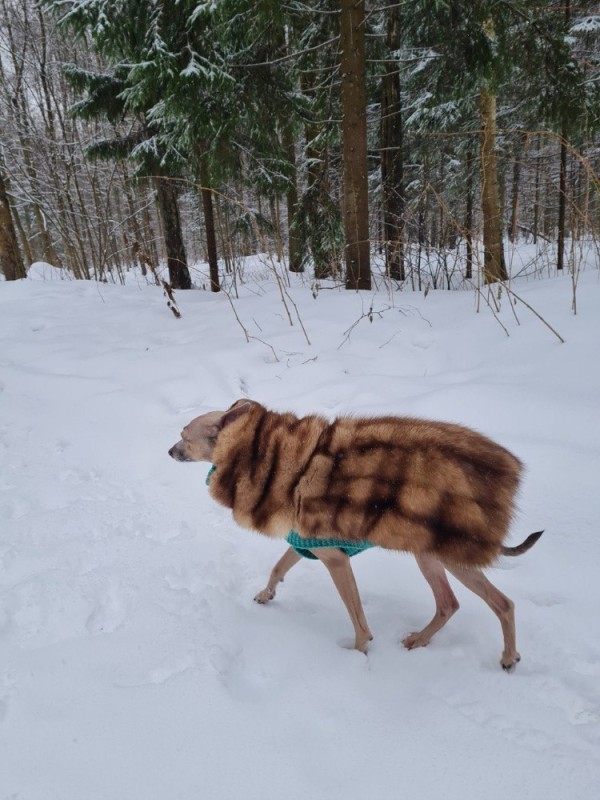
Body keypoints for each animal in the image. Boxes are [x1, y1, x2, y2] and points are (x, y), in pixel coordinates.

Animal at [170, 400, 544, 668]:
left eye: (184, 436)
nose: (169, 451)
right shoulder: (306, 544)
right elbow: (278, 568)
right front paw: (266, 594)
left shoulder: (335, 559)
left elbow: (358, 619)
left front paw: (358, 654)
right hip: (428, 555)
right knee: (448, 604)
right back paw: (420, 640)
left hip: (453, 557)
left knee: (503, 604)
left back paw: (508, 658)